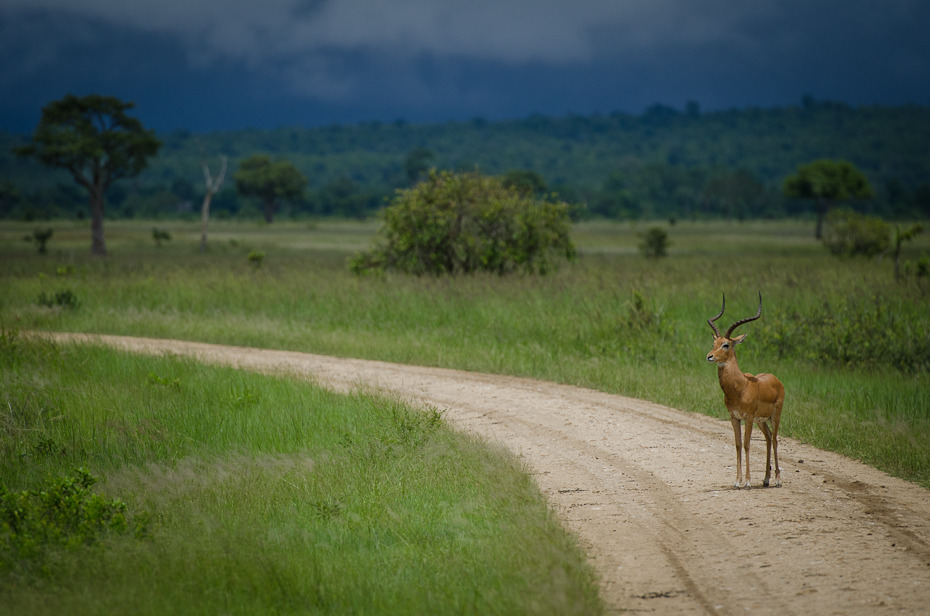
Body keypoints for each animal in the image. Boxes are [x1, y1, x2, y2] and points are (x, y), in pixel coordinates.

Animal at [704, 294, 784, 490]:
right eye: (714, 342)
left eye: (726, 344)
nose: (709, 356)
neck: (740, 388)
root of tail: (776, 380)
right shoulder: (734, 417)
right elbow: (738, 445)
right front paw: (737, 481)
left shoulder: (747, 417)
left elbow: (747, 445)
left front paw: (747, 481)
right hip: (761, 421)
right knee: (768, 439)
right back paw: (765, 479)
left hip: (775, 416)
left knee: (775, 439)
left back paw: (777, 480)